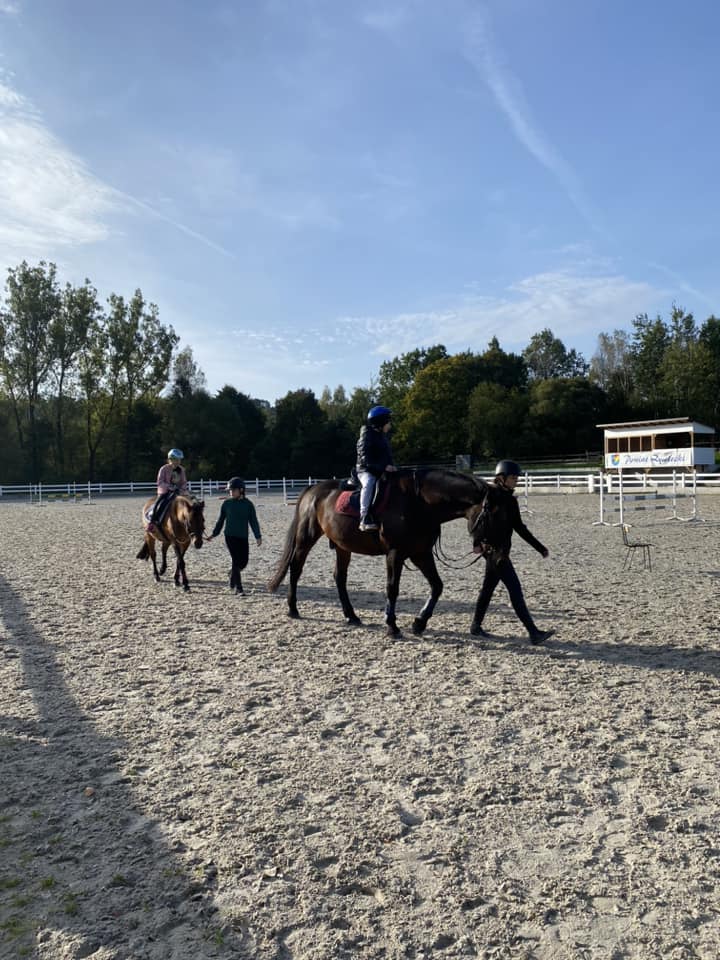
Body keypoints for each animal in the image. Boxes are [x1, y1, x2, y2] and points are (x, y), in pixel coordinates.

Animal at [268, 469, 510, 637]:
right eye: (496, 515)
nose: (501, 554)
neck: (419, 503)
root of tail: (313, 489)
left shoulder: (421, 554)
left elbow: (437, 586)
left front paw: (419, 622)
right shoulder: (395, 554)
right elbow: (392, 589)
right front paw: (392, 626)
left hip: (342, 547)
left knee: (340, 578)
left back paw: (351, 616)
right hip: (305, 539)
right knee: (296, 568)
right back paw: (293, 608)